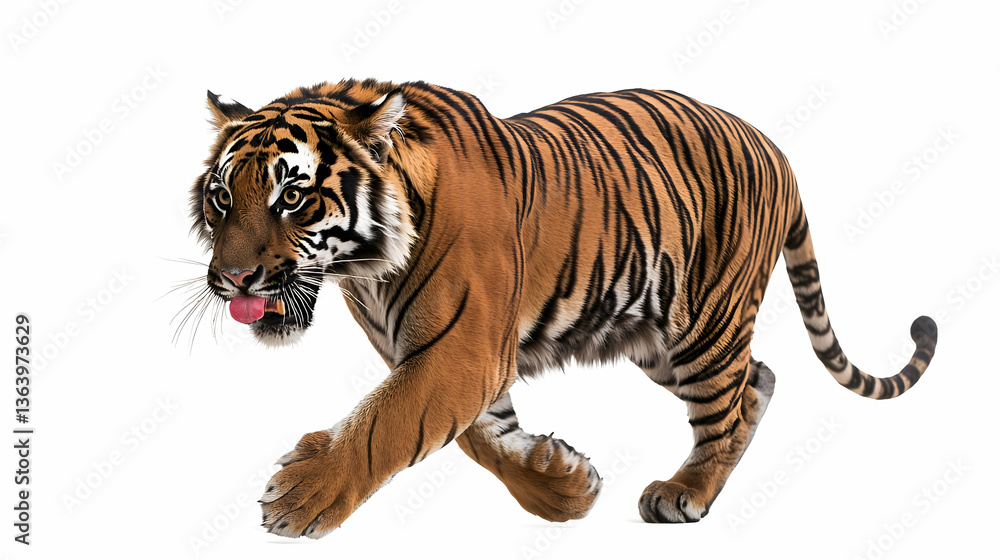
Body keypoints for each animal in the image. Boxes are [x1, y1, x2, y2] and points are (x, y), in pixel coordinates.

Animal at [186, 78, 938, 538]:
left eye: (292, 196)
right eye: (223, 197)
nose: (232, 278)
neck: (366, 270)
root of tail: (774, 146)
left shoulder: (460, 352)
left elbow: (386, 423)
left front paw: (301, 495)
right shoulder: (453, 357)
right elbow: (483, 439)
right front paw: (565, 487)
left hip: (705, 325)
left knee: (729, 402)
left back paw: (687, 493)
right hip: (658, 341)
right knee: (759, 380)